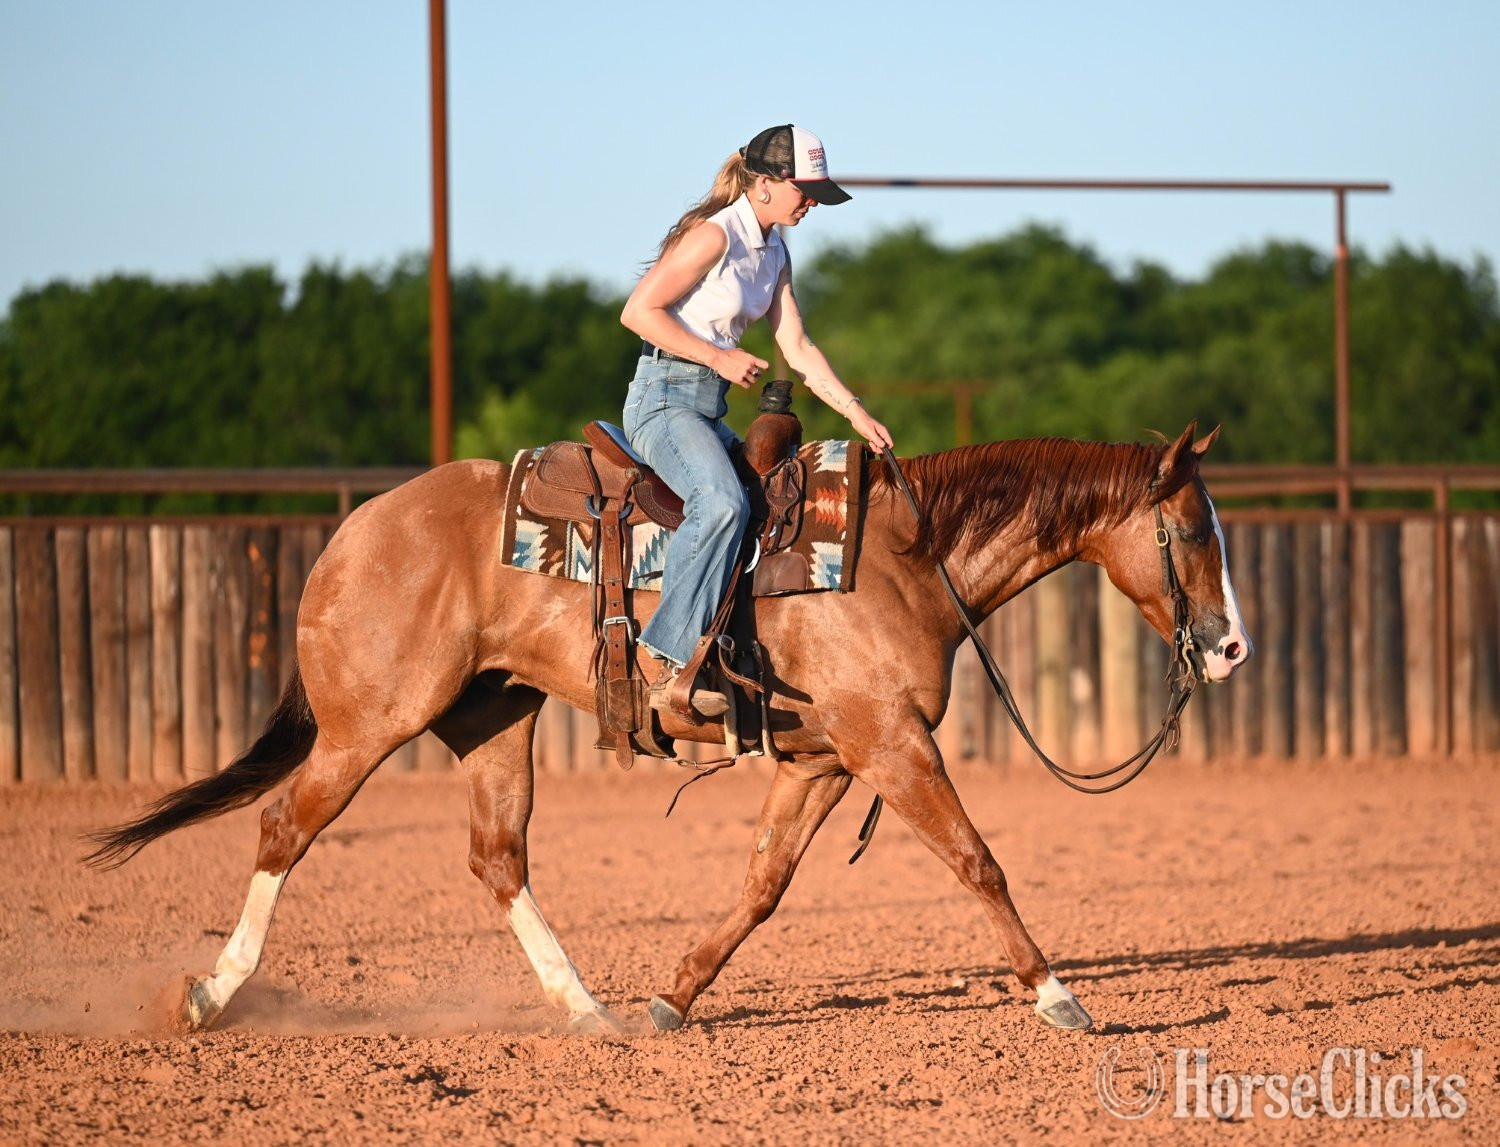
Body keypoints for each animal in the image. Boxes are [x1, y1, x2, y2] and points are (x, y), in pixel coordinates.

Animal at [87, 422, 1251, 1035]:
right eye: (1195, 528)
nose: (1233, 646)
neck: (902, 558)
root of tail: (352, 533)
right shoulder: (889, 743)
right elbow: (977, 859)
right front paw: (1059, 995)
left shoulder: (826, 761)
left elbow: (762, 885)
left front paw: (671, 997)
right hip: (369, 723)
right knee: (285, 829)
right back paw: (210, 992)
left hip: (493, 720)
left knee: (497, 858)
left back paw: (587, 1010)